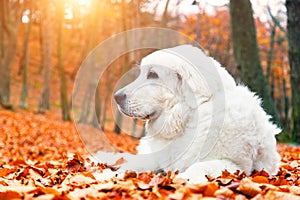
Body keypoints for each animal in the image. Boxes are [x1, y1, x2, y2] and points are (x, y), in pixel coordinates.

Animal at [95, 45, 280, 183]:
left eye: (153, 75)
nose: (117, 96)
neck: (190, 116)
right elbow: (134, 163)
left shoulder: (235, 165)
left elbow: (196, 167)